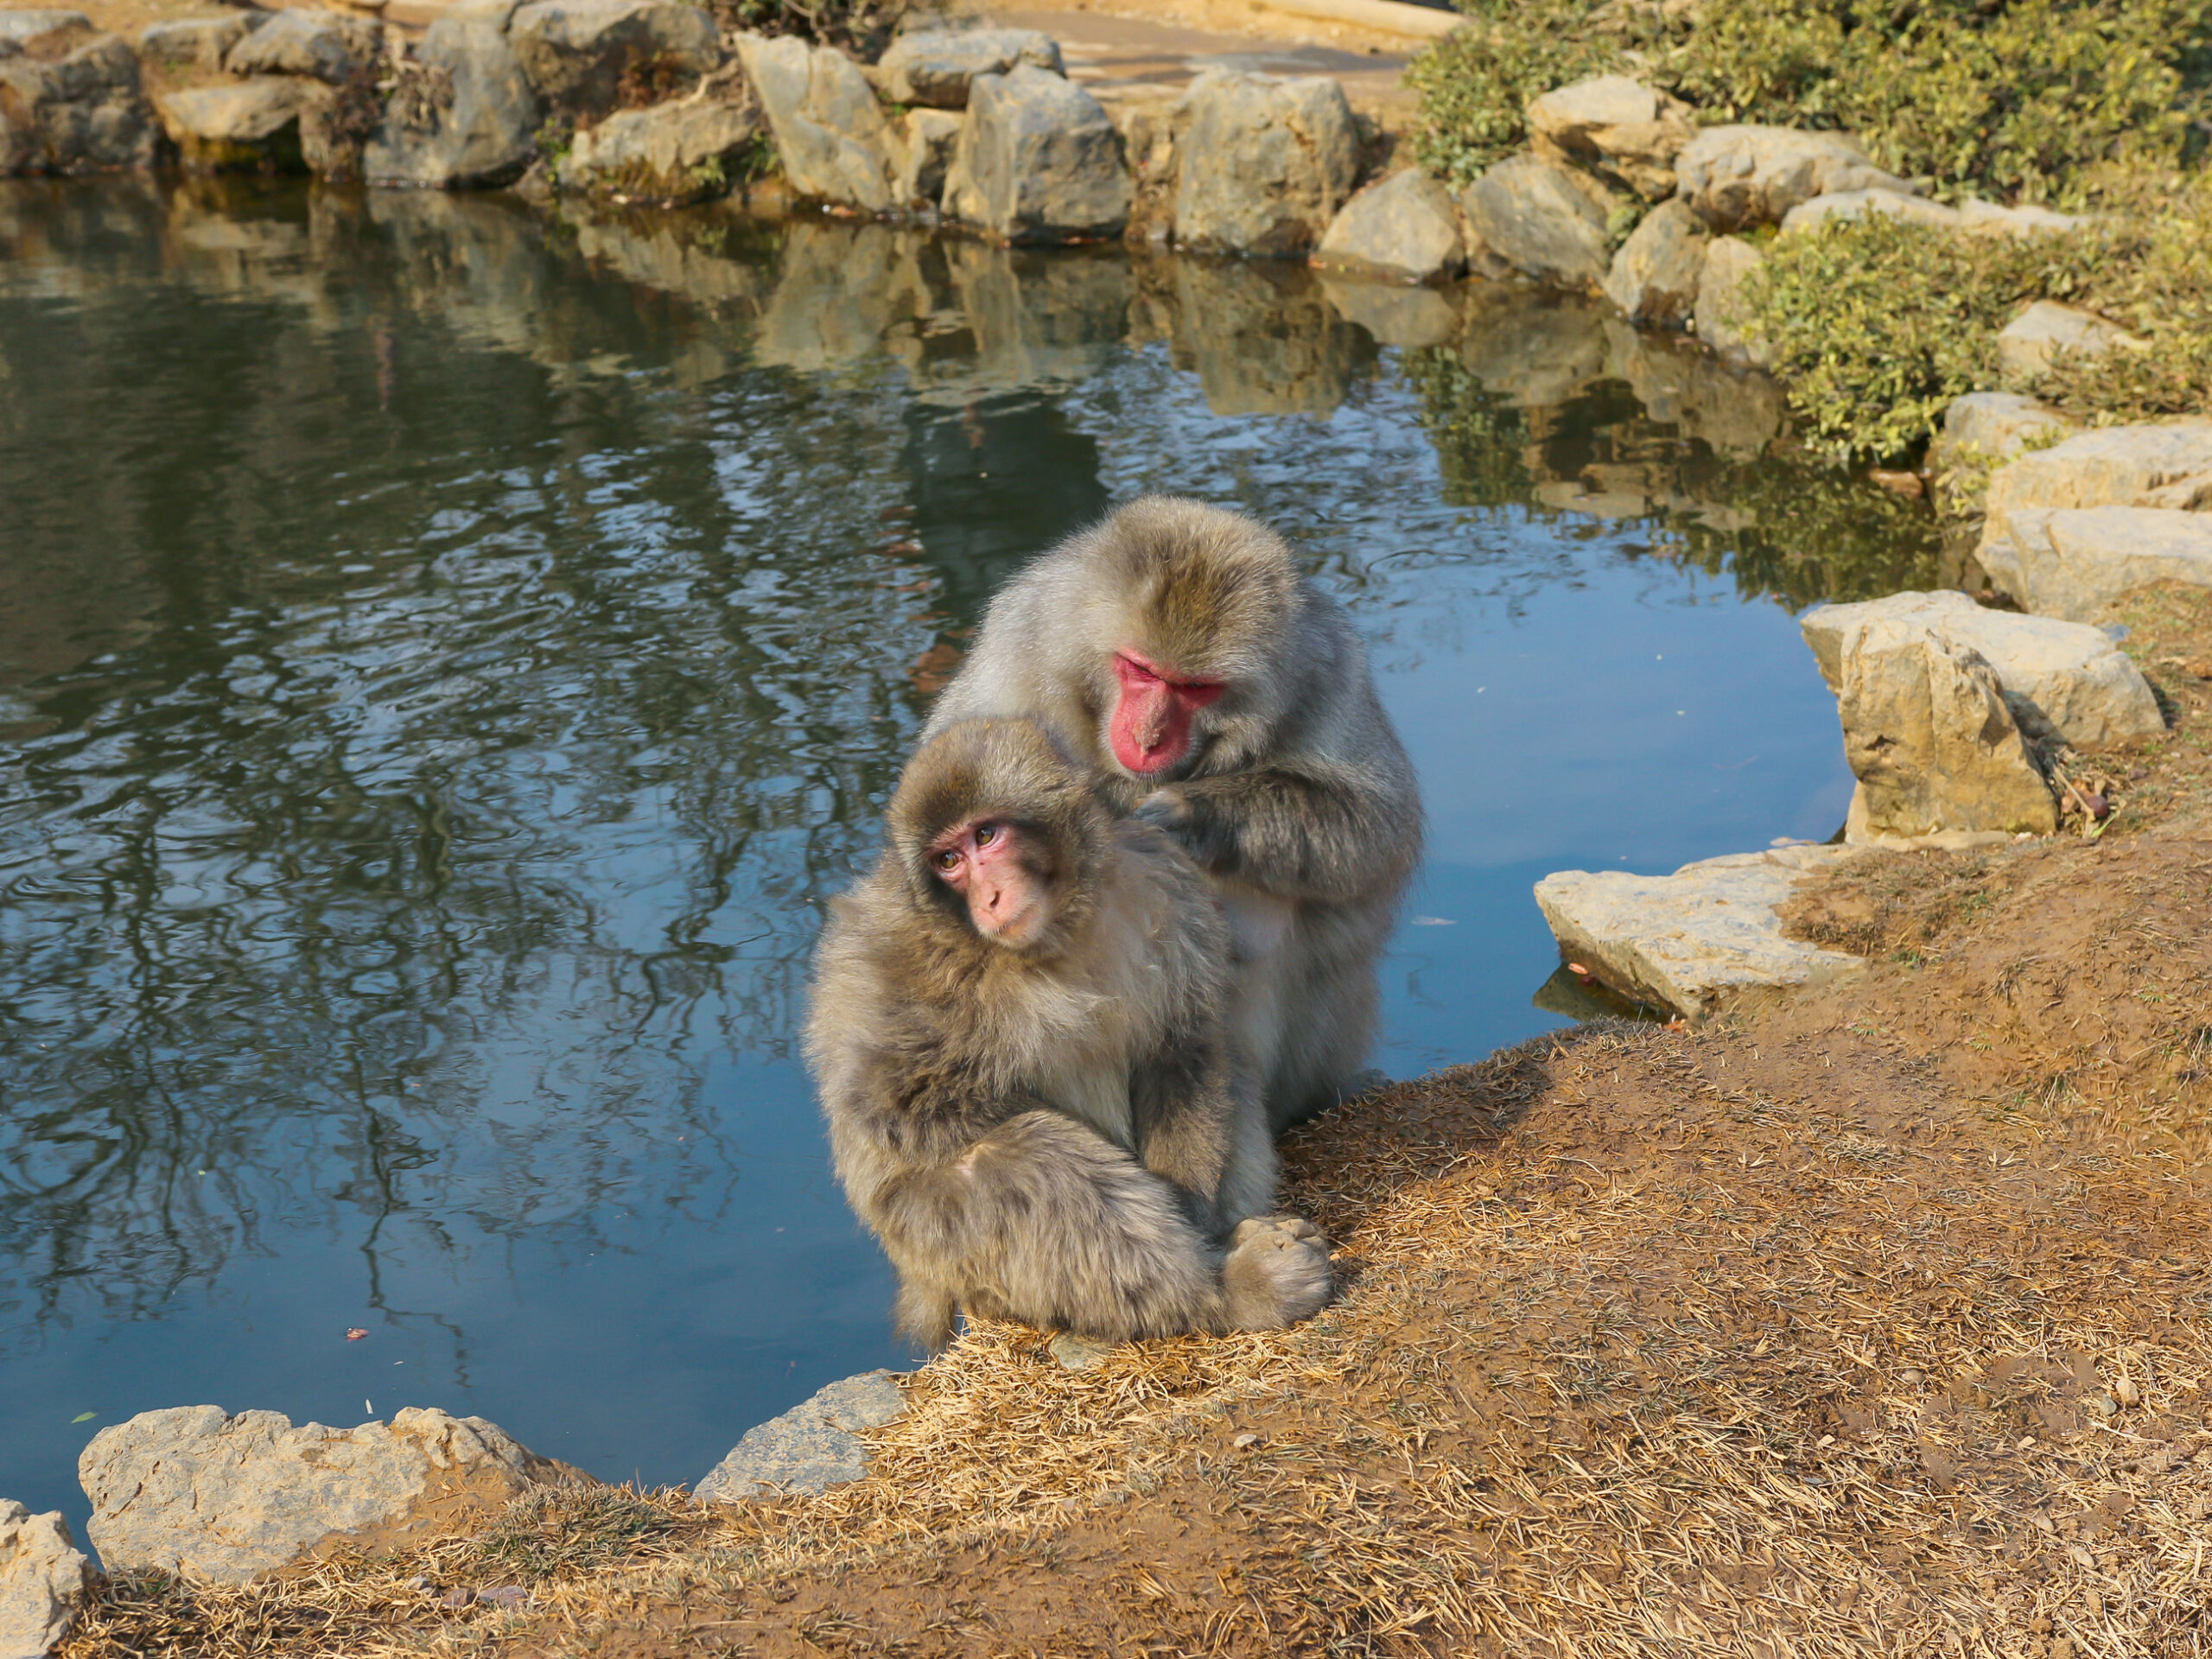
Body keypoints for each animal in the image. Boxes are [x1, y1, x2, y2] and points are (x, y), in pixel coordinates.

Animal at [805, 716, 1336, 1350]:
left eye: (987, 835)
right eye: (948, 860)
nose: (990, 898)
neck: (1061, 931)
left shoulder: (1168, 879)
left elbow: (1183, 1044)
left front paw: (1195, 1212)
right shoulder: (905, 958)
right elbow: (897, 1110)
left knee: (1230, 1071)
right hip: (929, 1241)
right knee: (1020, 1157)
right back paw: (1225, 1294)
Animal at [921, 496, 1422, 1132]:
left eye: (1196, 688)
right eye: (1141, 670)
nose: (1148, 737)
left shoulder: (1328, 675)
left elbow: (1373, 828)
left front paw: (1190, 815)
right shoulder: (1018, 651)